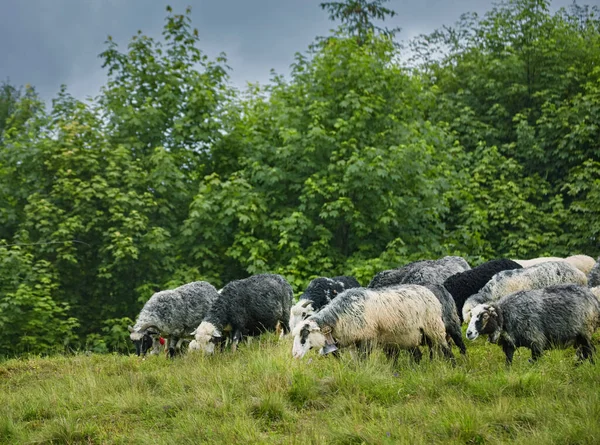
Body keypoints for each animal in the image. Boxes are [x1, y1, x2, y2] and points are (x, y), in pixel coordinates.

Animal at [292, 284, 454, 364]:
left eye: (305, 333)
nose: (294, 355)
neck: (338, 318)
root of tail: (428, 291)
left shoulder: (367, 339)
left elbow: (363, 361)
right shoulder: (353, 343)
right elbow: (357, 362)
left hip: (434, 327)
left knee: (447, 351)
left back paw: (451, 367)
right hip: (410, 336)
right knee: (419, 355)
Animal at [466, 284, 600, 364]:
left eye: (484, 316)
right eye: (471, 315)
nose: (468, 333)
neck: (506, 315)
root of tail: (593, 298)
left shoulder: (536, 342)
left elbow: (535, 362)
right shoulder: (509, 344)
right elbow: (508, 362)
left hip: (585, 332)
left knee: (590, 351)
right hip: (579, 337)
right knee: (586, 352)